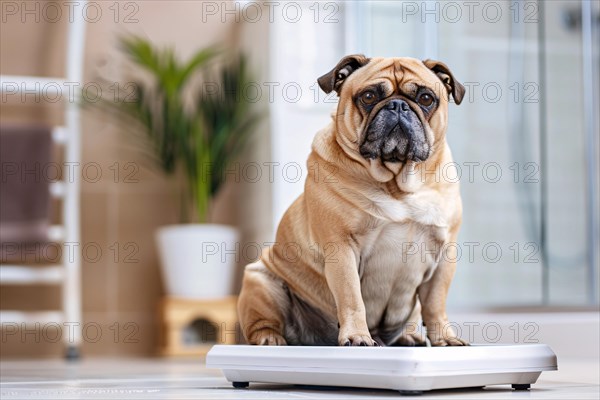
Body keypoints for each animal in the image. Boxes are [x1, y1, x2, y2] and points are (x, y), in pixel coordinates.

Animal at [237, 55, 466, 346]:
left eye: (426, 98)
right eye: (368, 96)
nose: (398, 105)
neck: (397, 181)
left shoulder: (444, 256)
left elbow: (435, 303)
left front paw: (445, 339)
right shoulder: (342, 249)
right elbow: (351, 298)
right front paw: (357, 336)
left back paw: (409, 336)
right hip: (261, 282)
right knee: (263, 324)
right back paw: (271, 339)